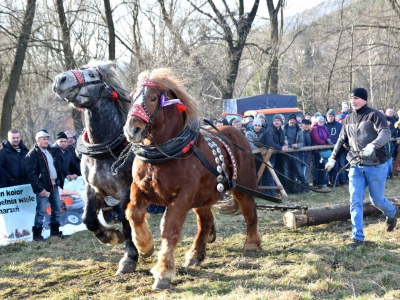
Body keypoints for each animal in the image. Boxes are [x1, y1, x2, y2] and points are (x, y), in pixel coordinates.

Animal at [52, 61, 138, 274]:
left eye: (91, 74)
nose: (60, 80)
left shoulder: (126, 191)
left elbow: (127, 223)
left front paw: (129, 258)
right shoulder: (93, 189)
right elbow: (88, 219)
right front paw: (111, 236)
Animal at [125, 68, 262, 290]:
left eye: (153, 98)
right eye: (131, 98)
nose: (131, 129)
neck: (162, 158)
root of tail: (235, 131)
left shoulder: (182, 198)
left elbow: (170, 230)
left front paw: (163, 272)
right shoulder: (140, 188)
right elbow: (133, 213)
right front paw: (145, 245)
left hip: (243, 187)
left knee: (250, 213)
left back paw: (251, 245)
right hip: (203, 198)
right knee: (205, 222)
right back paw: (196, 254)